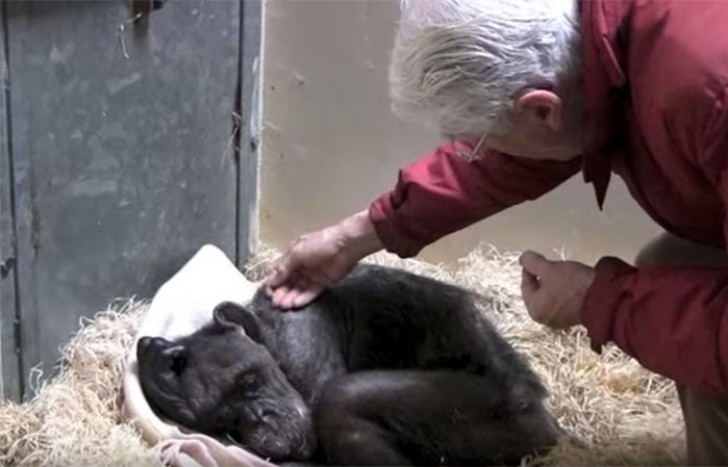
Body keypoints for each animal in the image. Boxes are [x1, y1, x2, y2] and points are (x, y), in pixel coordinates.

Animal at [135, 266, 564, 466]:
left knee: (343, 399)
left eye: (249, 383)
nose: (261, 417)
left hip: (498, 416)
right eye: (227, 421)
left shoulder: (302, 346)